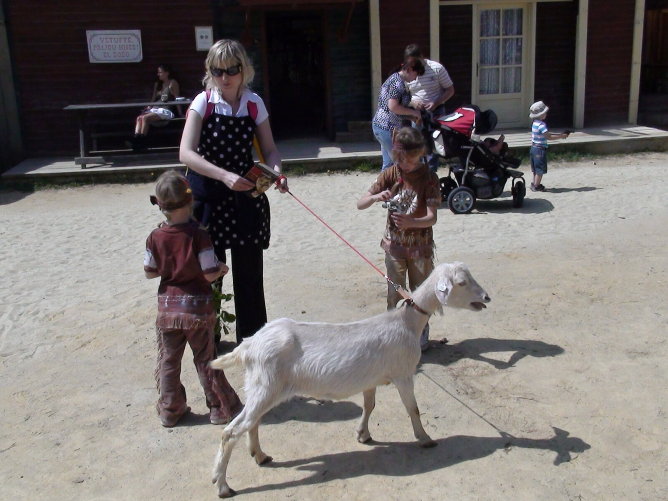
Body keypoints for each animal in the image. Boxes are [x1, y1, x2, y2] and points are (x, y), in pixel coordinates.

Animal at [210, 262, 490, 496]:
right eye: (461, 282)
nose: (486, 298)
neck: (407, 322)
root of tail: (249, 344)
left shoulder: (371, 380)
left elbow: (369, 405)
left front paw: (363, 435)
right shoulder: (403, 373)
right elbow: (413, 408)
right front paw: (425, 439)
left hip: (260, 386)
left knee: (252, 422)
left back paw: (260, 456)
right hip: (266, 386)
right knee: (230, 432)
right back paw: (223, 485)